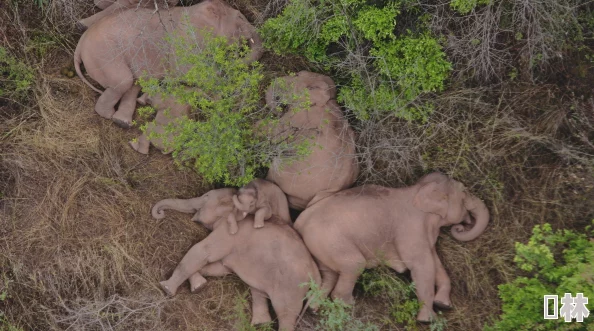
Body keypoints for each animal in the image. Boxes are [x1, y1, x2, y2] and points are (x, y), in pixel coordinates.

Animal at [73, 0, 262, 128]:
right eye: (240, 17)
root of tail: (79, 46)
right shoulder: (185, 40)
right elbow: (188, 72)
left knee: (133, 83)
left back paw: (123, 122)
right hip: (104, 54)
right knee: (124, 81)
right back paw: (110, 115)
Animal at [150, 189, 322, 331]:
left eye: (206, 197)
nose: (160, 212)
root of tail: (315, 272)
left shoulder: (228, 233)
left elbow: (202, 251)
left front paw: (166, 288)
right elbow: (220, 268)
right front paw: (199, 286)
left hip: (291, 287)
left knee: (285, 313)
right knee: (258, 291)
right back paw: (260, 324)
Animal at [292, 174, 490, 324]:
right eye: (464, 192)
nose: (461, 227)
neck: (418, 189)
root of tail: (300, 221)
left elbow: (436, 263)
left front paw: (443, 304)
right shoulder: (411, 228)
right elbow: (422, 266)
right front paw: (428, 320)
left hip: (320, 246)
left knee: (330, 274)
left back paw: (315, 309)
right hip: (329, 239)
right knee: (354, 265)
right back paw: (349, 306)